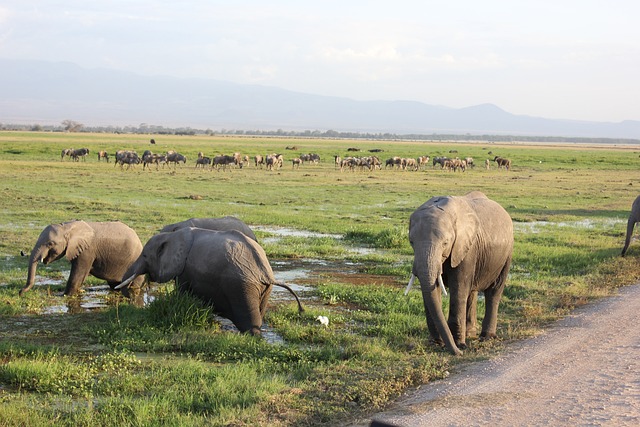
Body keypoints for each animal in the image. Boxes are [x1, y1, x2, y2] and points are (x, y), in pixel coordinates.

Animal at [117, 229, 304, 336]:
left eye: (145, 256)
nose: (130, 296)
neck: (171, 236)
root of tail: (265, 272)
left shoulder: (184, 271)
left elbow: (182, 293)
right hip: (264, 289)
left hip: (241, 286)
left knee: (249, 319)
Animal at [410, 192, 516, 356]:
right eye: (411, 242)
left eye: (445, 243)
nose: (458, 353)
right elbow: (434, 290)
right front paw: (436, 343)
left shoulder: (466, 249)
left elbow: (458, 290)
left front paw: (459, 345)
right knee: (471, 292)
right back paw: (471, 334)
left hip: (506, 254)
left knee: (493, 292)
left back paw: (486, 337)